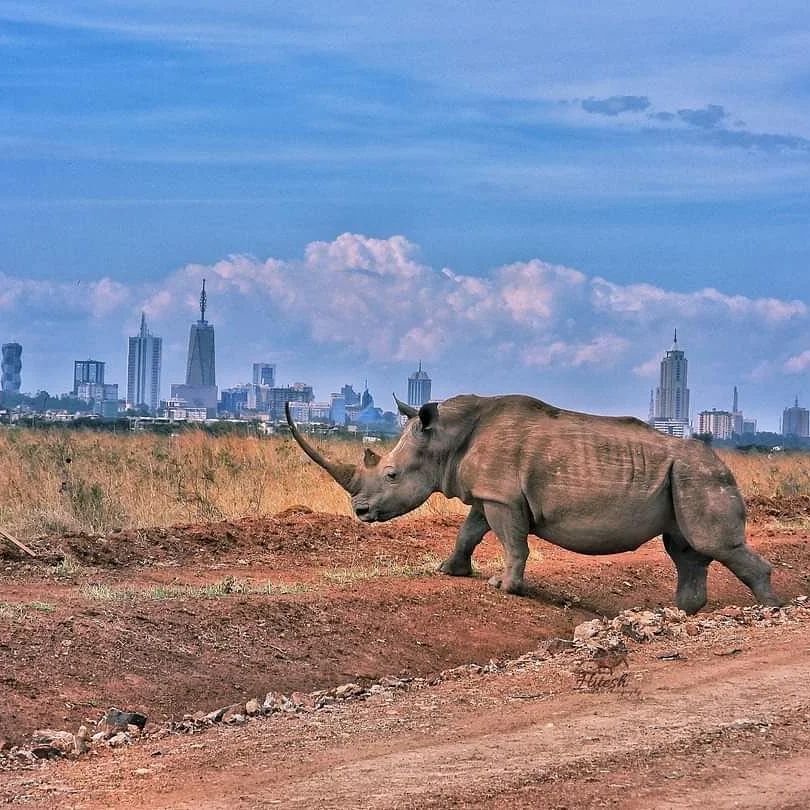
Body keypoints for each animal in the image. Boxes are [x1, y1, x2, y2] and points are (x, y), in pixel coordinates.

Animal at [285, 394, 779, 614]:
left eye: (391, 475)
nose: (360, 513)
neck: (445, 439)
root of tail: (724, 463)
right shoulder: (490, 492)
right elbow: (470, 531)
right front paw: (450, 572)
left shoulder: (503, 496)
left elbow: (512, 543)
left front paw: (503, 588)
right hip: (685, 477)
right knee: (685, 549)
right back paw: (683, 613)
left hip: (701, 475)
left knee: (712, 544)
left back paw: (769, 610)